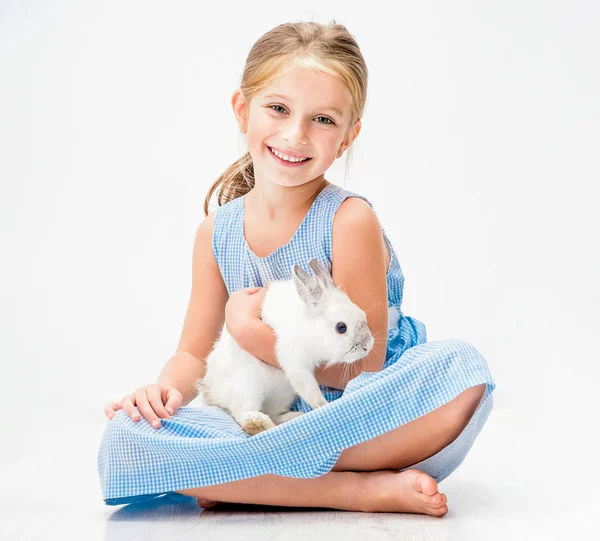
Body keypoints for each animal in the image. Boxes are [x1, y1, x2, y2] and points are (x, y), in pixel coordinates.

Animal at [188, 258, 376, 434]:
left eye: (363, 315)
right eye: (341, 327)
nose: (367, 346)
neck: (312, 328)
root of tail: (211, 391)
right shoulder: (295, 364)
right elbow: (310, 389)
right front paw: (323, 405)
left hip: (282, 395)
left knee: (272, 413)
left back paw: (293, 416)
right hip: (247, 386)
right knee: (242, 415)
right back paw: (259, 424)